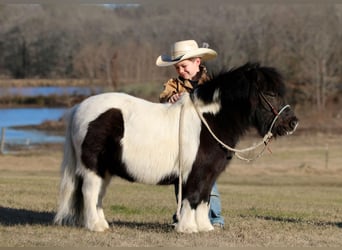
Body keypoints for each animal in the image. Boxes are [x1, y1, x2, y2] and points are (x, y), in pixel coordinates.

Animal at [53, 62, 296, 232]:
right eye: (271, 93)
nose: (292, 123)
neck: (209, 121)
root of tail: (79, 108)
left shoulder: (209, 174)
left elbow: (204, 199)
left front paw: (205, 228)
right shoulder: (195, 173)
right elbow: (192, 197)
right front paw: (188, 228)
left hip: (105, 170)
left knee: (98, 196)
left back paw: (103, 224)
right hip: (92, 169)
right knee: (89, 192)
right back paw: (95, 226)